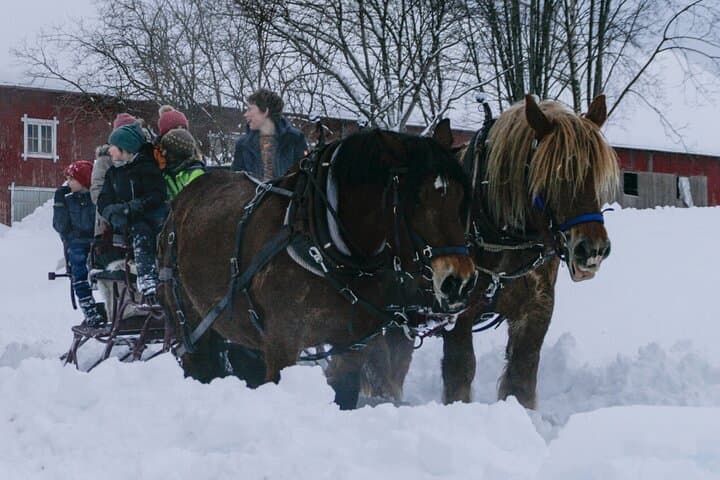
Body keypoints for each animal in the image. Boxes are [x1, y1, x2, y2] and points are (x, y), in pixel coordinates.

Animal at [156, 128, 478, 409]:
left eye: (461, 197)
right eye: (416, 199)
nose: (459, 281)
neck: (325, 245)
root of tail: (182, 199)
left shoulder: (352, 345)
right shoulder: (282, 344)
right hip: (191, 317)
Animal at [349, 94, 620, 408]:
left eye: (596, 173)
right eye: (554, 173)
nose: (593, 249)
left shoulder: (536, 310)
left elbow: (521, 375)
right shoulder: (458, 315)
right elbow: (460, 372)